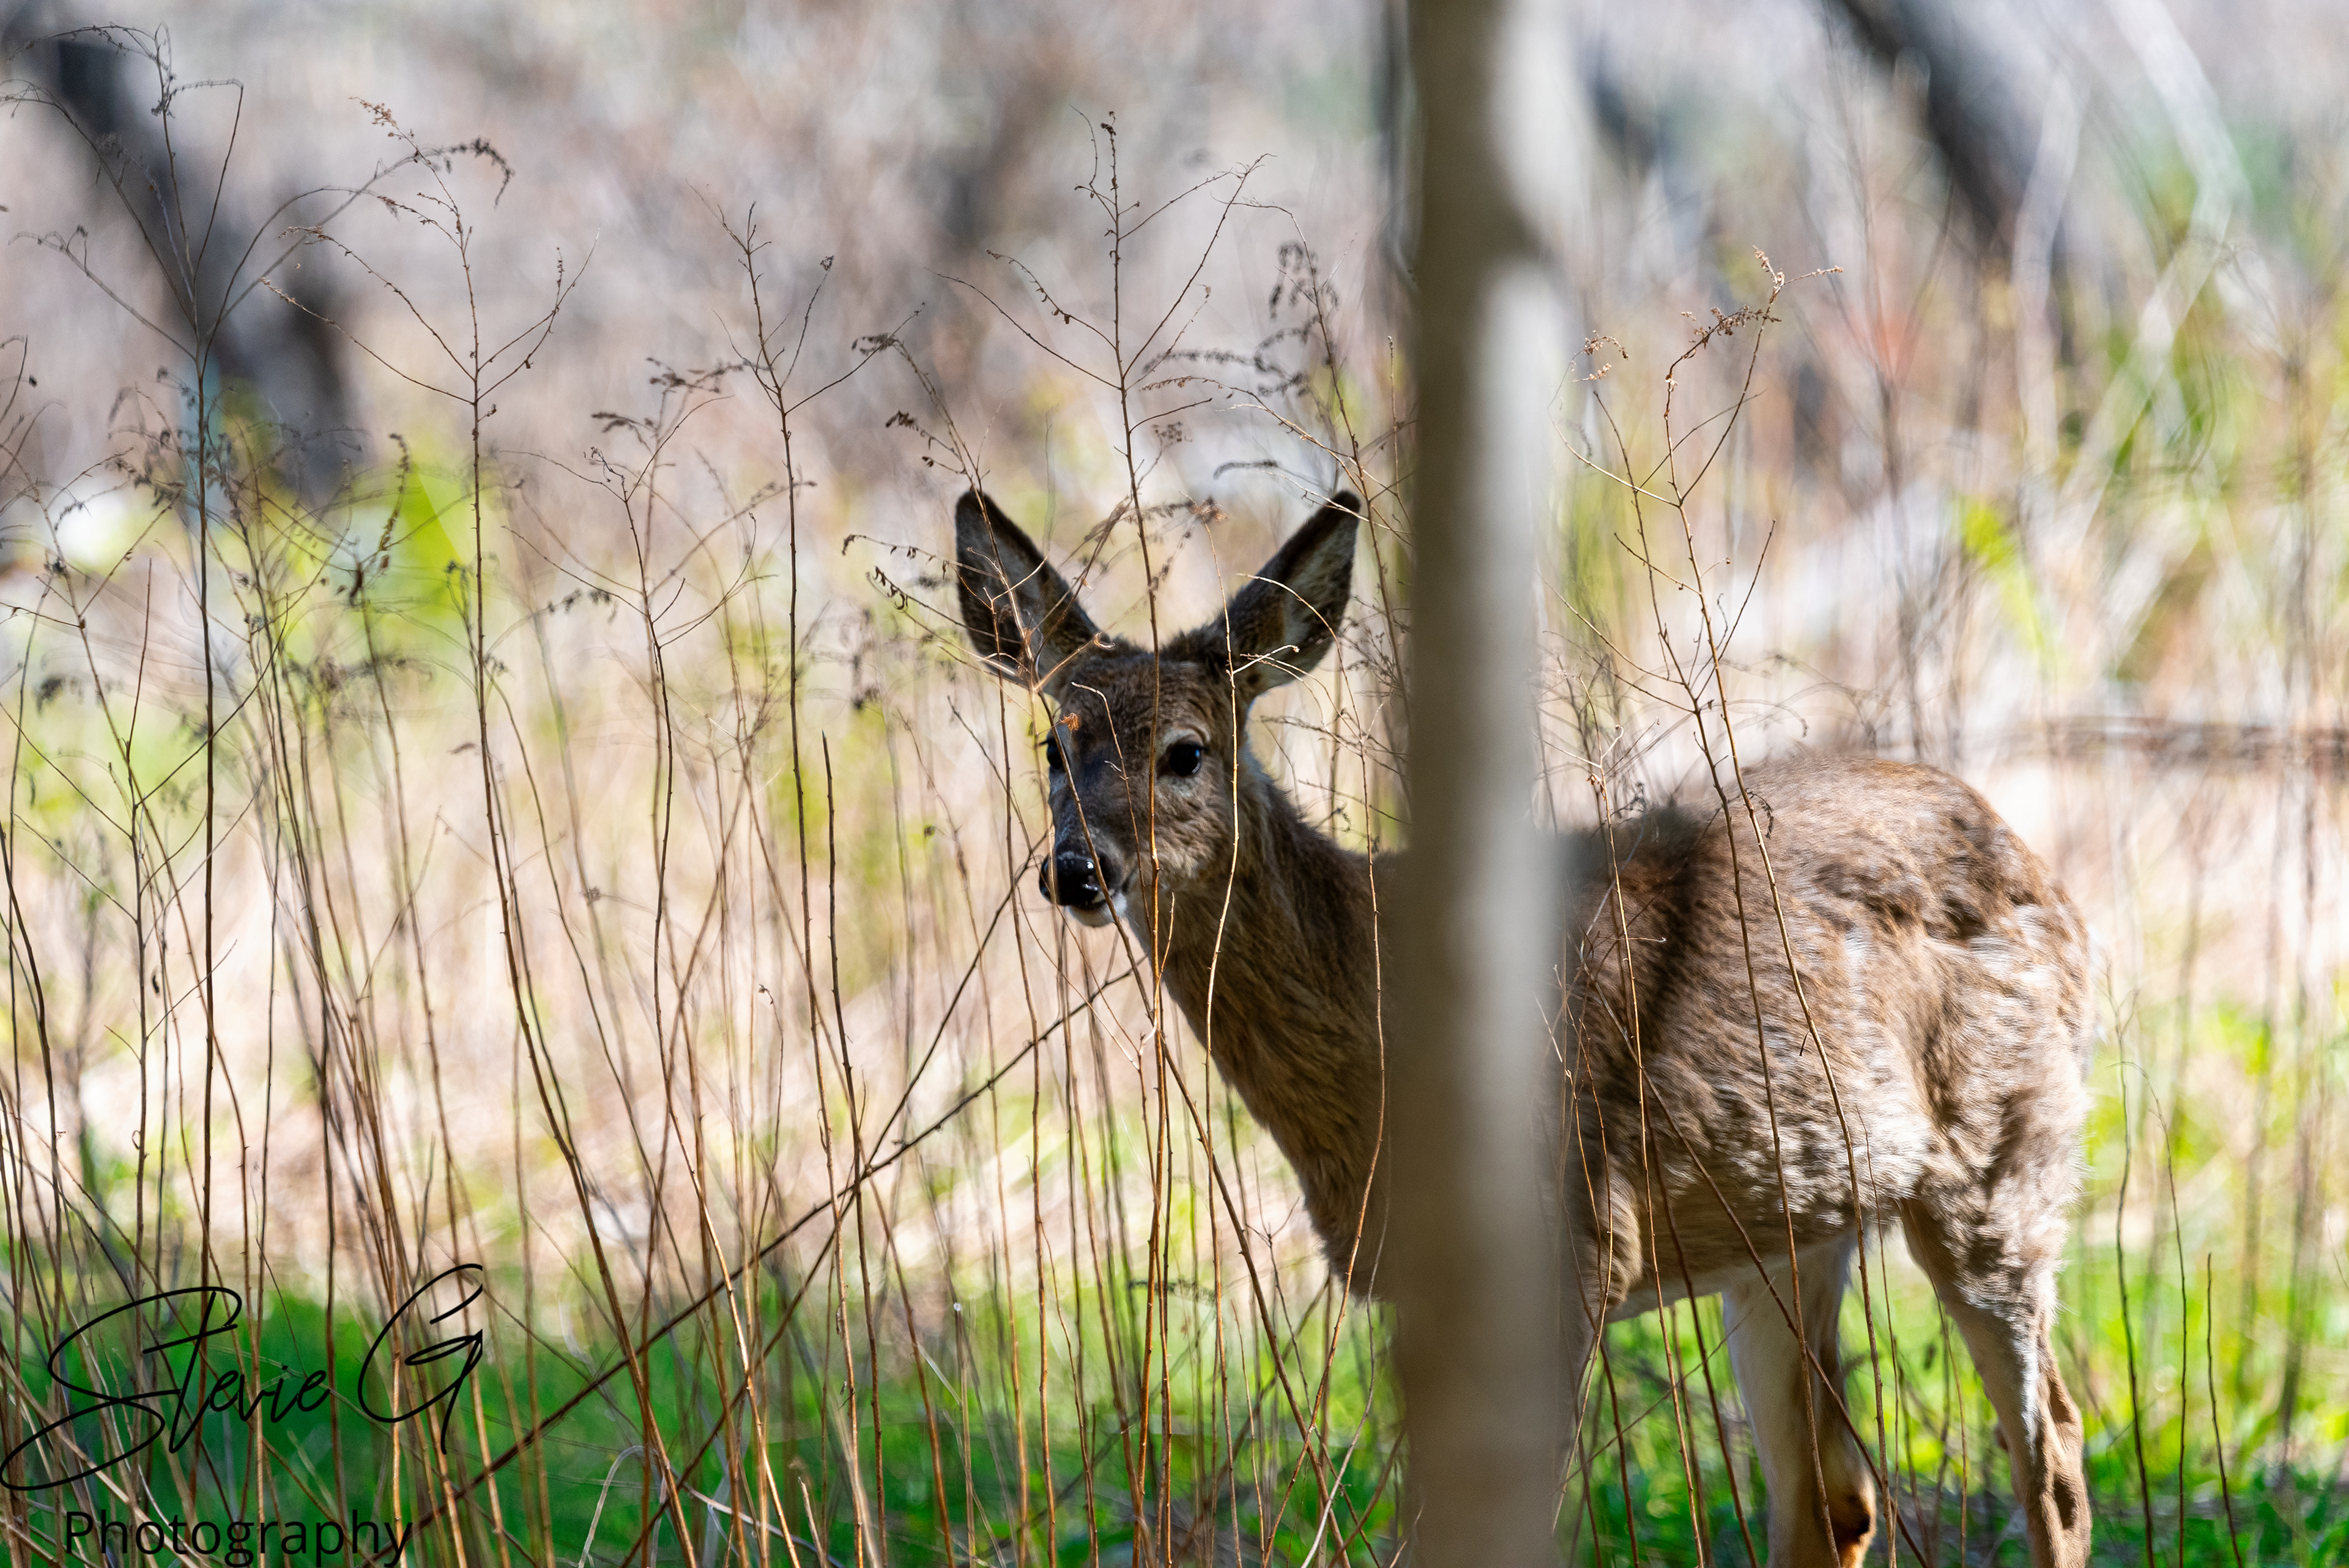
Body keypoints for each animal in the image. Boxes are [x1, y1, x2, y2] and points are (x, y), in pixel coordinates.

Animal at [953, 486, 2094, 1568]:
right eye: (1053, 743)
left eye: (1186, 752)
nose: (1077, 869)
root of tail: (2047, 879)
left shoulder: (1573, 1239)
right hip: (1792, 1222)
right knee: (1838, 1495)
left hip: (2001, 1164)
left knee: (2057, 1450)